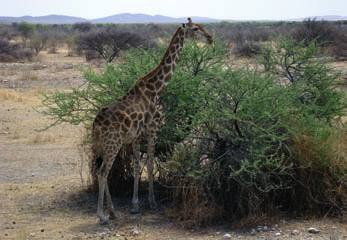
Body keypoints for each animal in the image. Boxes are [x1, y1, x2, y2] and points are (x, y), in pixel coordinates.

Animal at [91, 17, 213, 225]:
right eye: (195, 28)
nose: (210, 38)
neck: (155, 90)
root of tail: (96, 124)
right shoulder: (153, 129)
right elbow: (148, 164)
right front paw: (152, 202)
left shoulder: (135, 137)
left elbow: (137, 165)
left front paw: (135, 206)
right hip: (113, 143)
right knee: (102, 172)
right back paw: (102, 215)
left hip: (101, 144)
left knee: (101, 169)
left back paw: (113, 212)